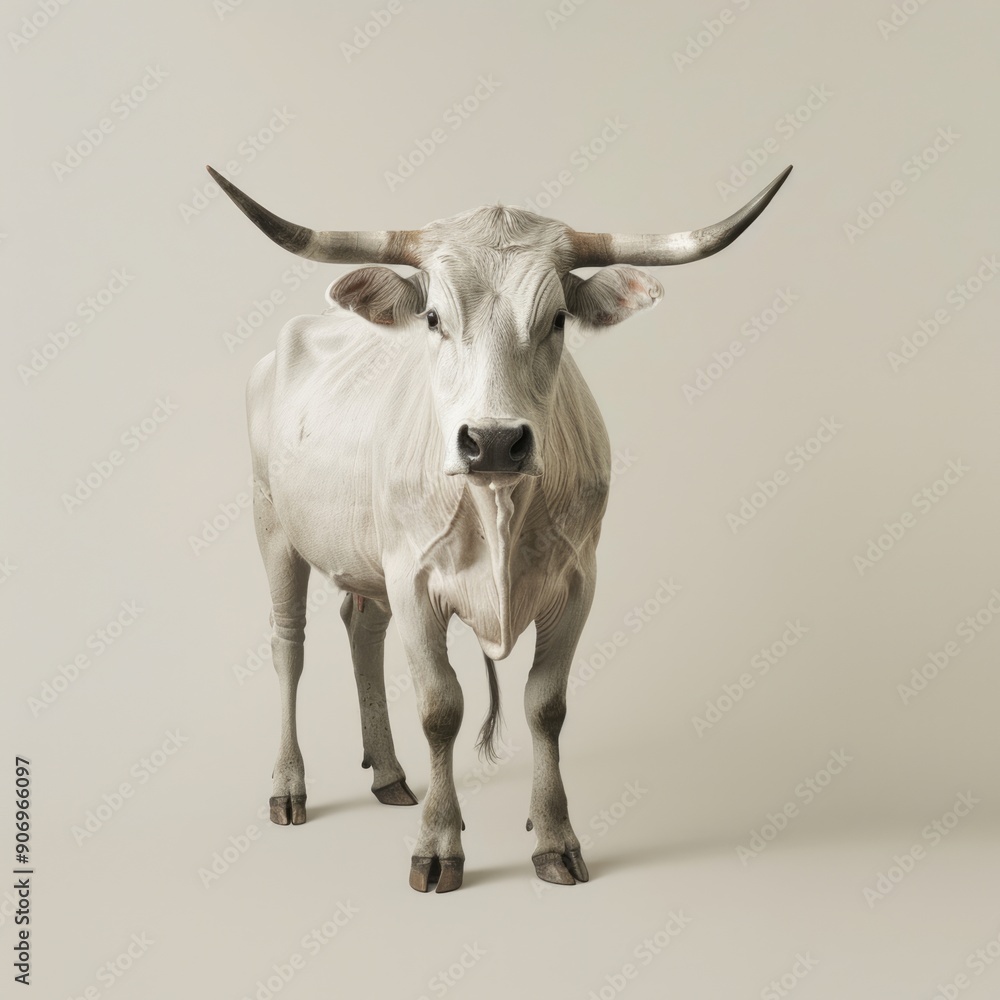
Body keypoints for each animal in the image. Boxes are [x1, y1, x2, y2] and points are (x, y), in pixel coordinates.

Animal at [208, 163, 792, 892]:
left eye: (558, 318)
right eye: (433, 317)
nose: (492, 442)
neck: (499, 512)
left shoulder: (577, 582)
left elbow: (546, 706)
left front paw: (554, 837)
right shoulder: (415, 583)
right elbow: (441, 708)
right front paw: (438, 846)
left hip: (370, 557)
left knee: (361, 628)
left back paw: (391, 775)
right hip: (274, 527)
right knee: (290, 644)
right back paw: (290, 785)